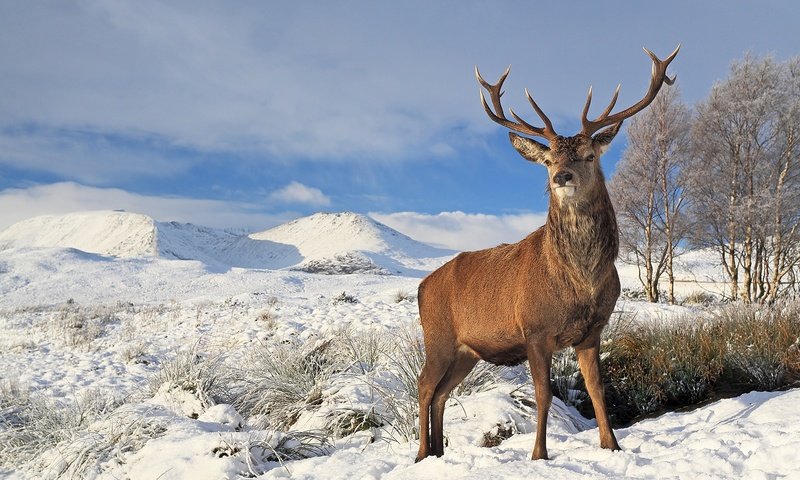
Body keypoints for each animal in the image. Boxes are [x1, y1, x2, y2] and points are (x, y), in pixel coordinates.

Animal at [416, 46, 680, 462]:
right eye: (548, 160)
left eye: (589, 155)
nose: (561, 177)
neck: (580, 282)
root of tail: (422, 287)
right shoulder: (534, 329)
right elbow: (544, 395)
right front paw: (539, 454)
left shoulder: (592, 331)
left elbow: (596, 390)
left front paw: (612, 445)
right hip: (438, 335)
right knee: (424, 385)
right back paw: (421, 454)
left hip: (466, 351)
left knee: (442, 391)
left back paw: (439, 454)